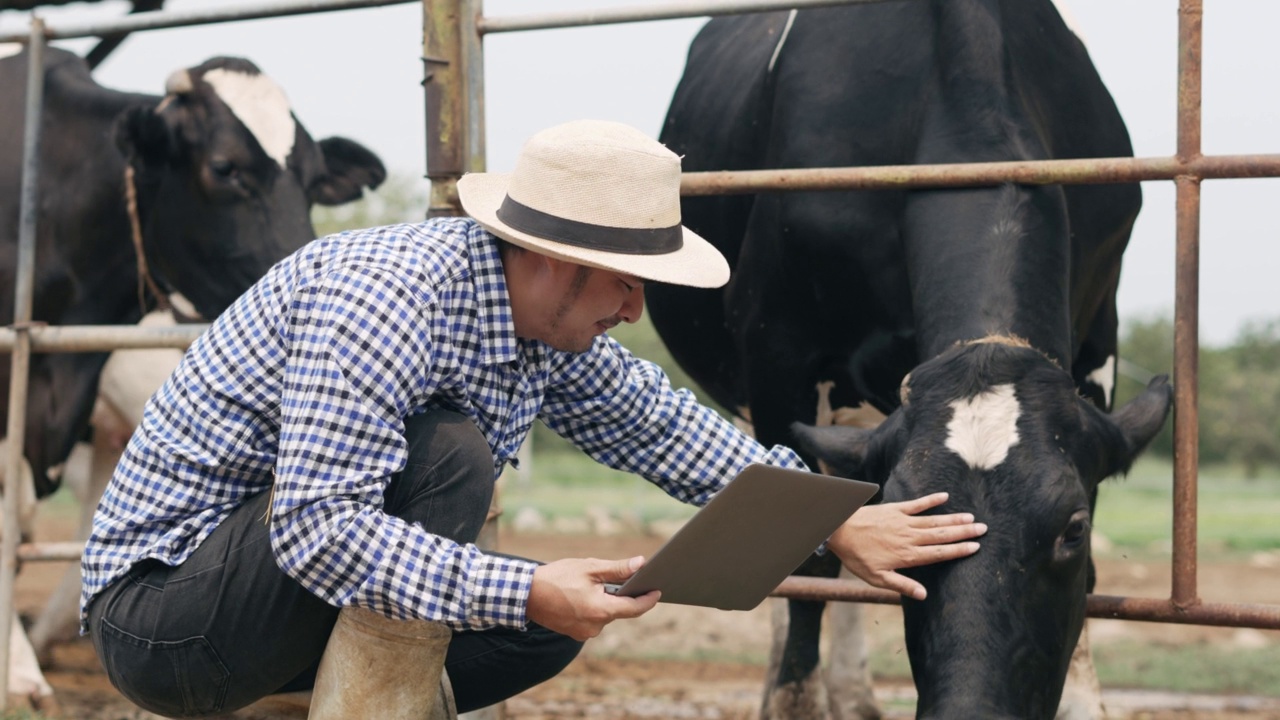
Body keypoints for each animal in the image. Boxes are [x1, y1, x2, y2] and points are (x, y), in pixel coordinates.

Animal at [650, 2, 1172, 712]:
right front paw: (792, 701)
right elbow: (809, 558)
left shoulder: (1098, 342)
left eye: (1074, 527)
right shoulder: (776, 352)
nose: (968, 709)